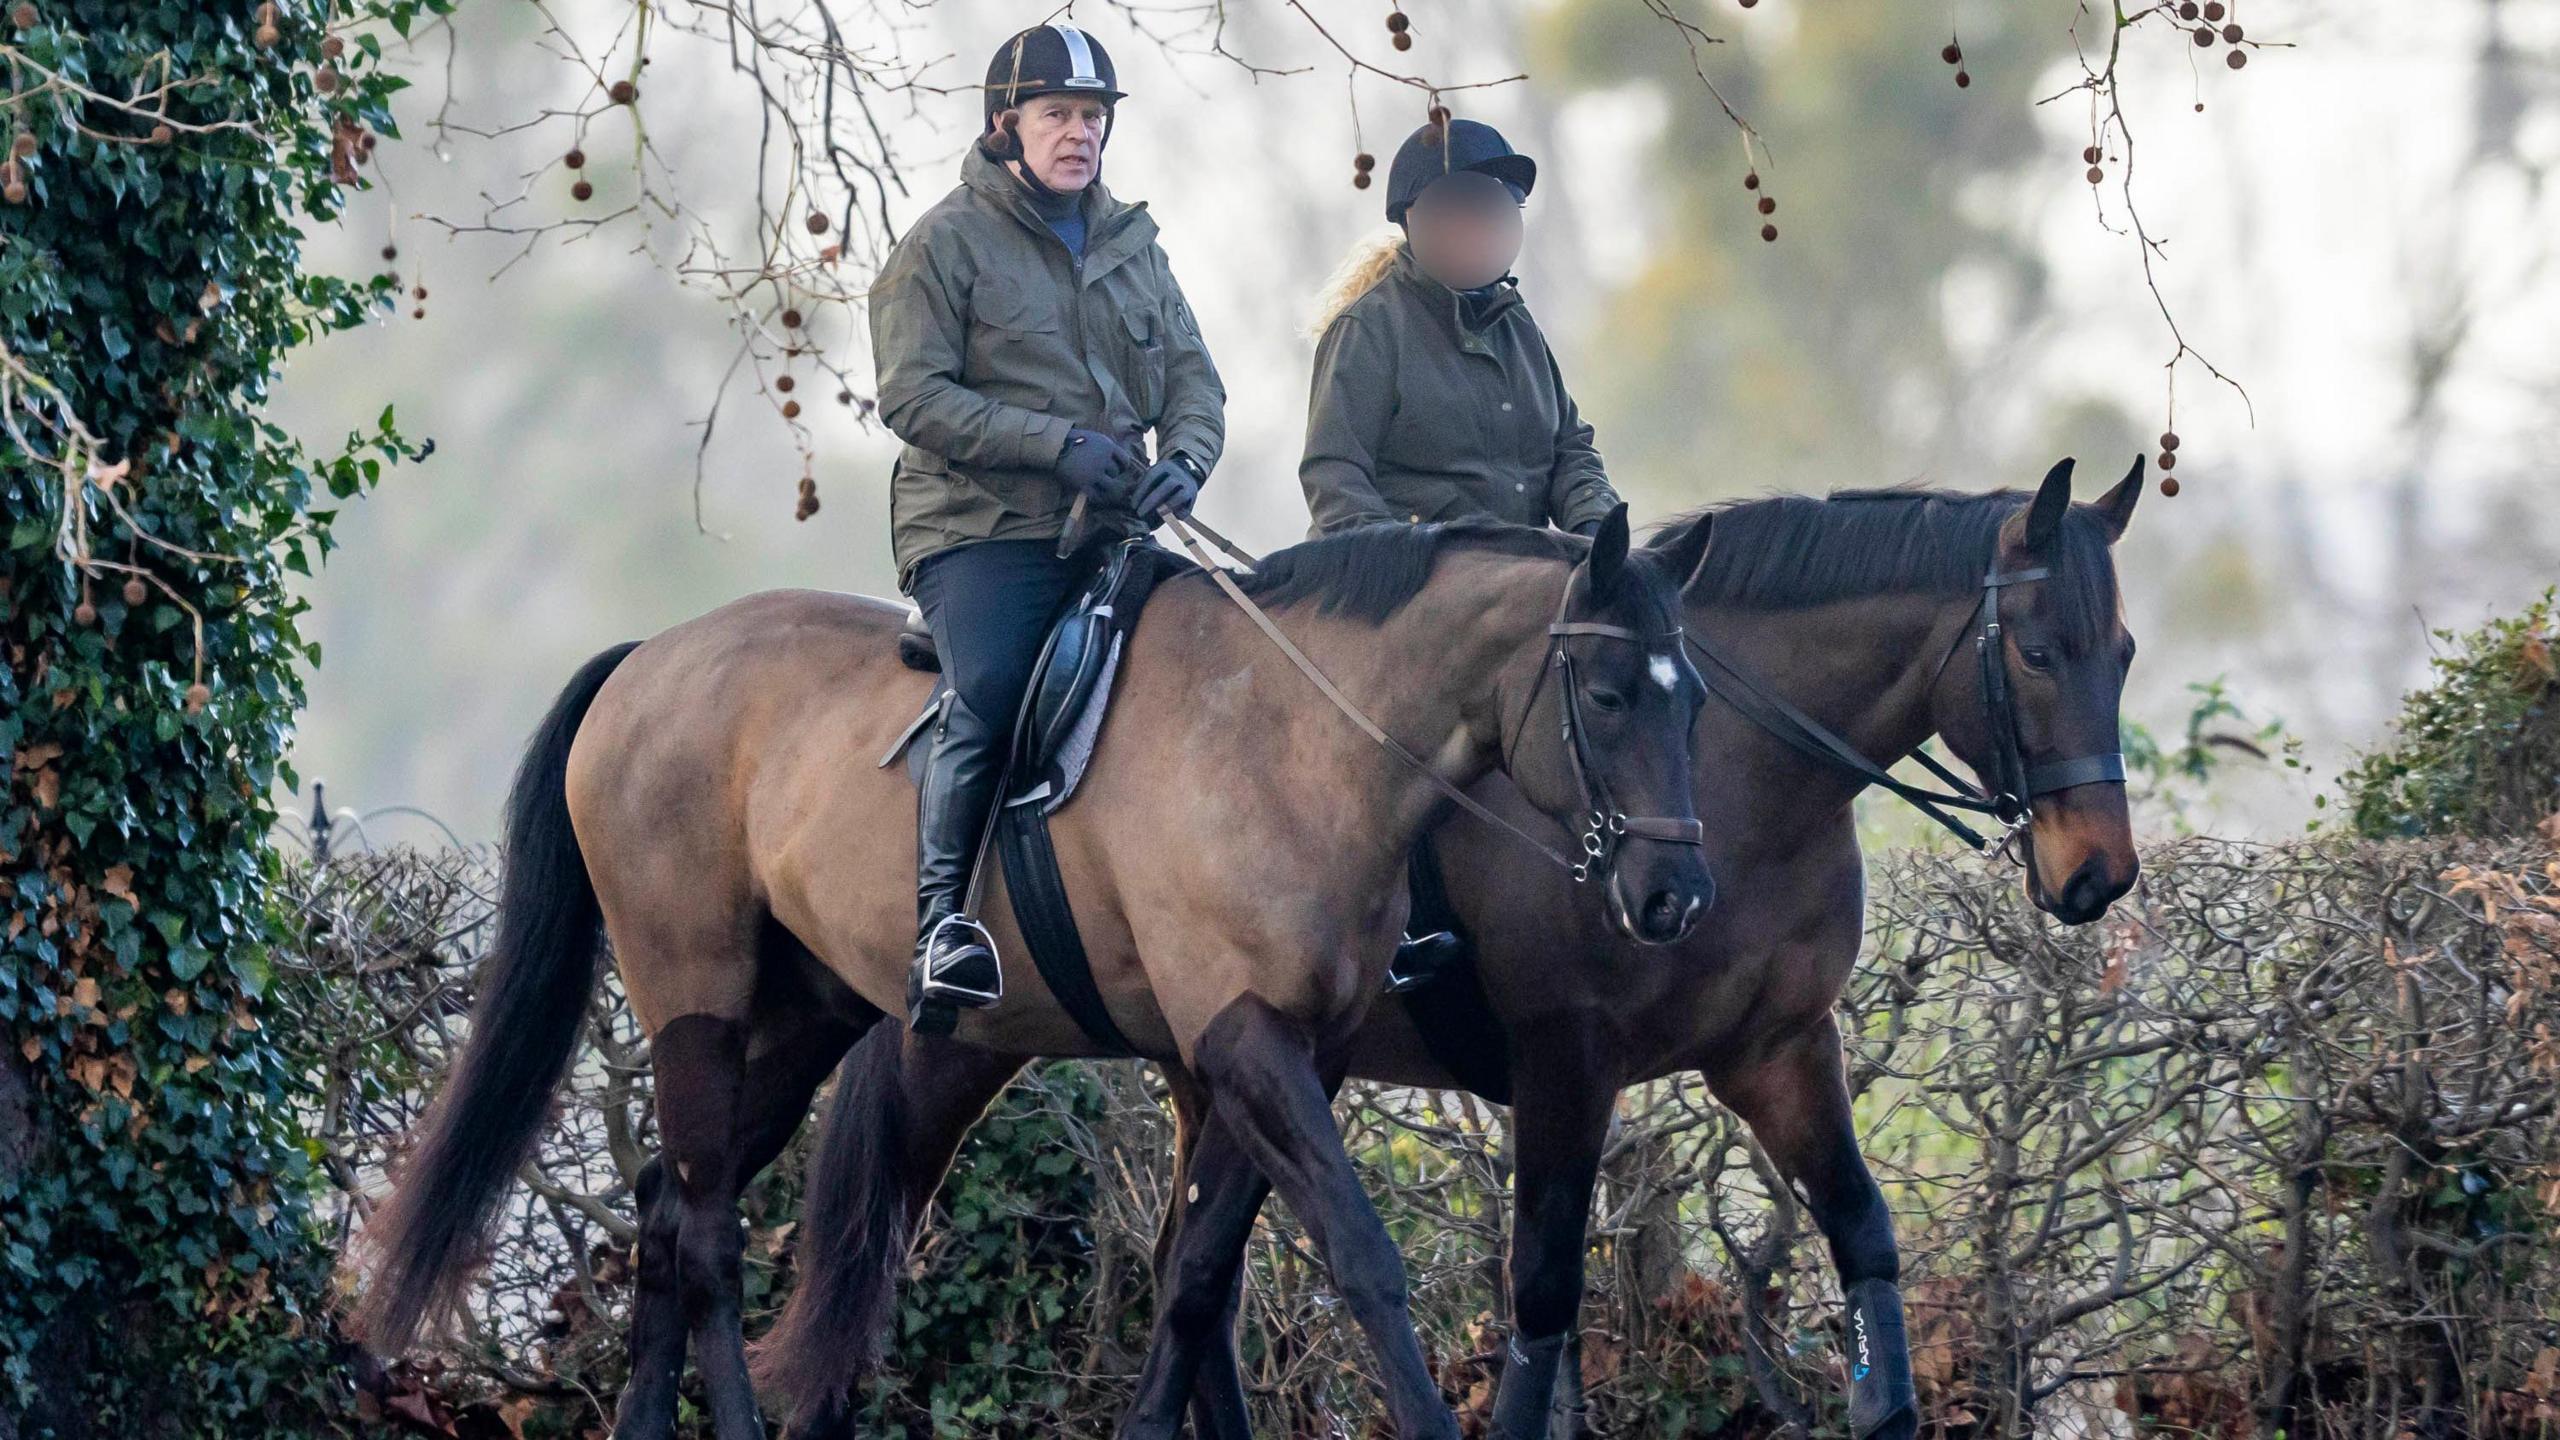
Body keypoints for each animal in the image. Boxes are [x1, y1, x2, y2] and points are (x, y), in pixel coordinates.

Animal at [347, 505, 1718, 1440]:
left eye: (1691, 697)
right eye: (1605, 692)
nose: (1676, 897)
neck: (1290, 740)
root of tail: (645, 662)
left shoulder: (1278, 1059)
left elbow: (1196, 1282)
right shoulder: (1246, 1044)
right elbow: (1360, 1260)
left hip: (800, 1020)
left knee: (667, 1207)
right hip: (693, 996)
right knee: (708, 1231)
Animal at [772, 458, 2146, 1440]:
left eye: (2122, 650)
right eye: (2038, 651)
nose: (2097, 874)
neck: (1742, 800)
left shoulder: (1779, 1051)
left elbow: (1863, 1240)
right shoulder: (1565, 1062)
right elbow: (1540, 1294)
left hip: (1206, 1061)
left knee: (1189, 1276)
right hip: (975, 1041)